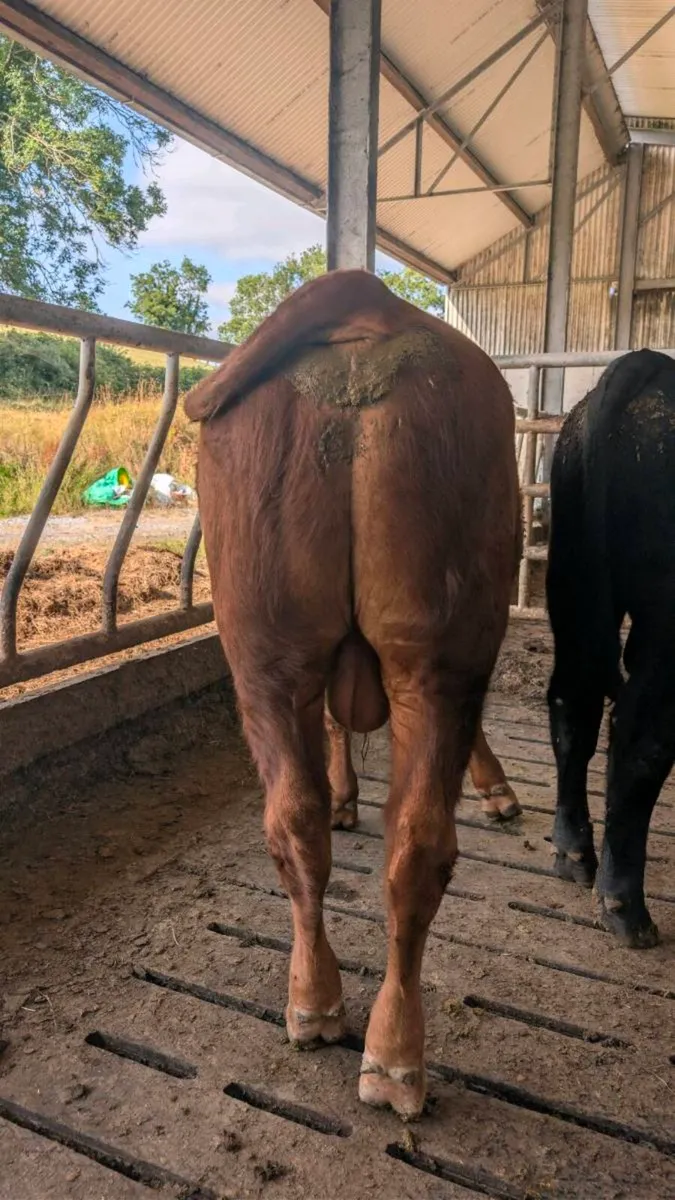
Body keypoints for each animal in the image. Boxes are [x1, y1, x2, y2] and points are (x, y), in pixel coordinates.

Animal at [185, 269, 520, 1117]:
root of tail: (366, 298)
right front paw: (494, 789)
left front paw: (344, 794)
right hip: (441, 650)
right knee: (419, 840)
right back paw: (395, 1056)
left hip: (265, 647)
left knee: (297, 820)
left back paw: (316, 1006)